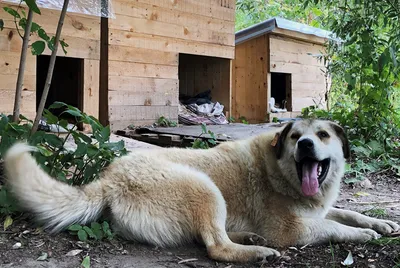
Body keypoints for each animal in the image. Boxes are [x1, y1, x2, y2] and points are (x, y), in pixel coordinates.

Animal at [3, 119, 400, 262]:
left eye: (322, 134)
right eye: (294, 135)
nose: (304, 145)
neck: (280, 170)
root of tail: (108, 179)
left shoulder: (316, 208)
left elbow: (346, 211)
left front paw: (380, 225)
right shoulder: (293, 229)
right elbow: (334, 226)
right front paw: (363, 234)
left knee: (214, 237)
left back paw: (250, 238)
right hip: (205, 187)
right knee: (215, 247)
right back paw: (257, 251)